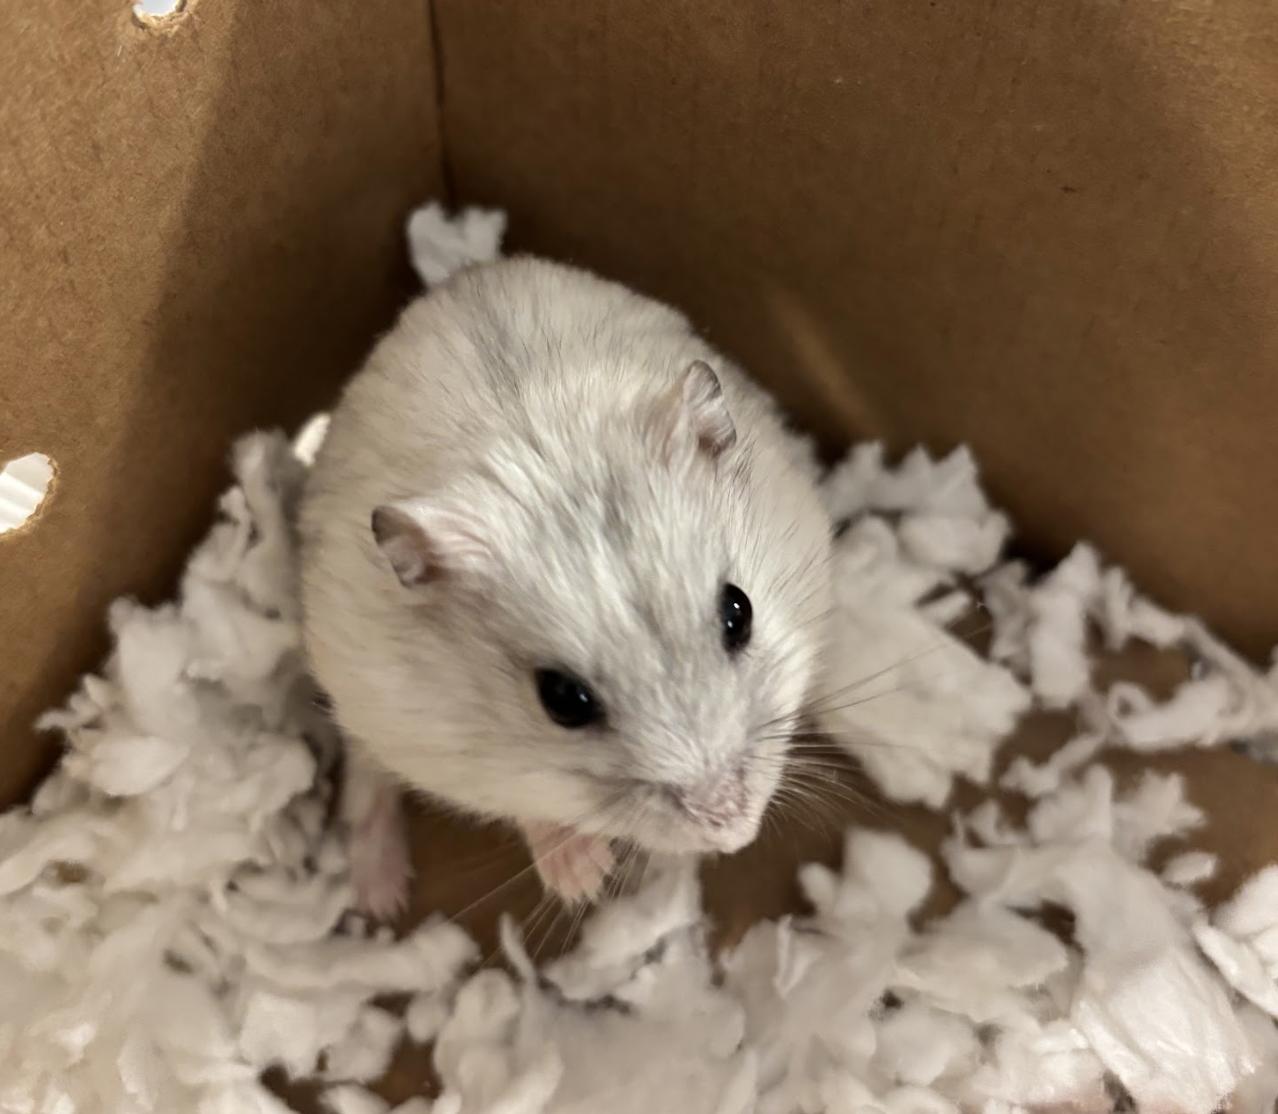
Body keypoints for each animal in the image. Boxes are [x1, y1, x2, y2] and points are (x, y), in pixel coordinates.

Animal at [298, 256, 832, 916]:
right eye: (561, 699)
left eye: (741, 610)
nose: (735, 833)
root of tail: (465, 273)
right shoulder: (449, 749)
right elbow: (530, 806)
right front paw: (584, 881)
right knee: (365, 769)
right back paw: (380, 896)